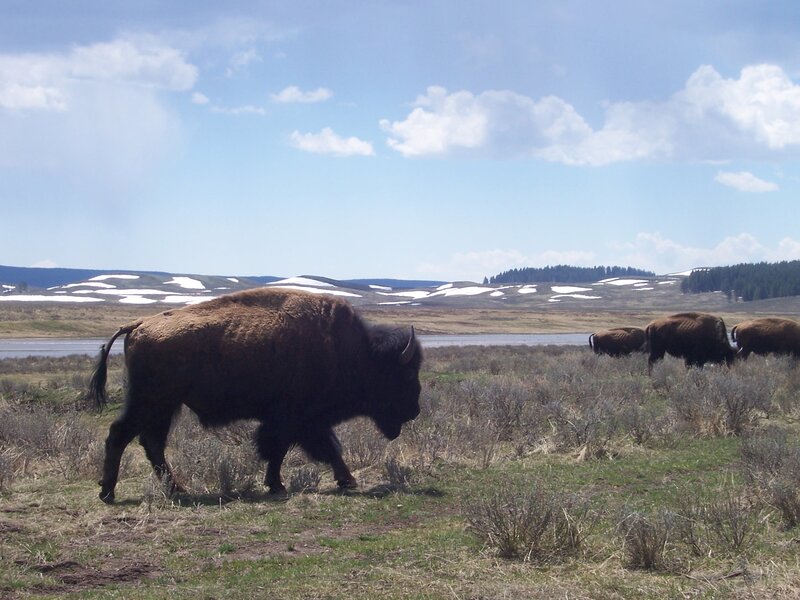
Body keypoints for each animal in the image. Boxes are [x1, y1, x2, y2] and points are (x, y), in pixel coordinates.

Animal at [88, 288, 422, 503]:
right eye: (405, 376)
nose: (415, 410)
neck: (353, 352)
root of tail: (139, 324)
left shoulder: (300, 422)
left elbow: (308, 449)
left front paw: (339, 481)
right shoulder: (295, 419)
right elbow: (296, 449)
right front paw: (285, 486)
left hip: (164, 407)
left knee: (151, 443)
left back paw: (175, 489)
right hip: (152, 402)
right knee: (121, 435)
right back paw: (108, 492)